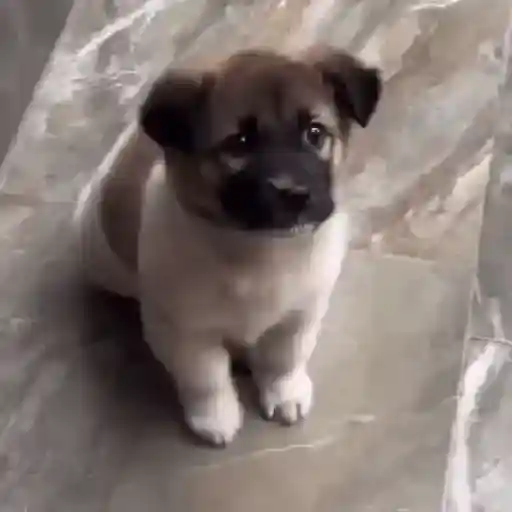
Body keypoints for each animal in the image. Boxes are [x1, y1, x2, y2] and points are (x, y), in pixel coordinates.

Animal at [73, 47, 381, 446]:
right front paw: (215, 417)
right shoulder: (184, 331)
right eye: (240, 143)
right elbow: (205, 377)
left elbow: (285, 356)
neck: (258, 251)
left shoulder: (301, 312)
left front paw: (284, 392)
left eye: (315, 133)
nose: (295, 194)